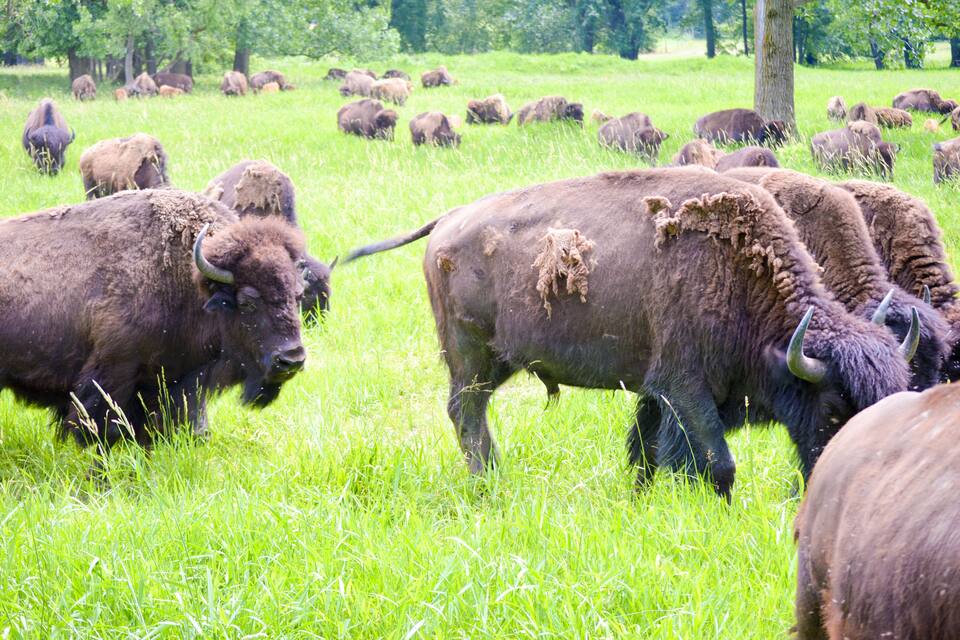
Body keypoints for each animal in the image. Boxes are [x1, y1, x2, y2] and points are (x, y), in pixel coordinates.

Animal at [0, 189, 307, 448]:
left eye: (298, 295)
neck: (187, 282)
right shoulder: (113, 374)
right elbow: (105, 431)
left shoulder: (170, 385)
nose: (291, 359)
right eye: (247, 302)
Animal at [344, 167, 912, 496]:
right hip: (471, 357)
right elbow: (716, 462)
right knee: (467, 415)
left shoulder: (659, 393)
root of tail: (448, 220)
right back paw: (490, 484)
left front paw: (640, 499)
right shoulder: (686, 387)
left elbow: (647, 451)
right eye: (834, 406)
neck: (737, 273)